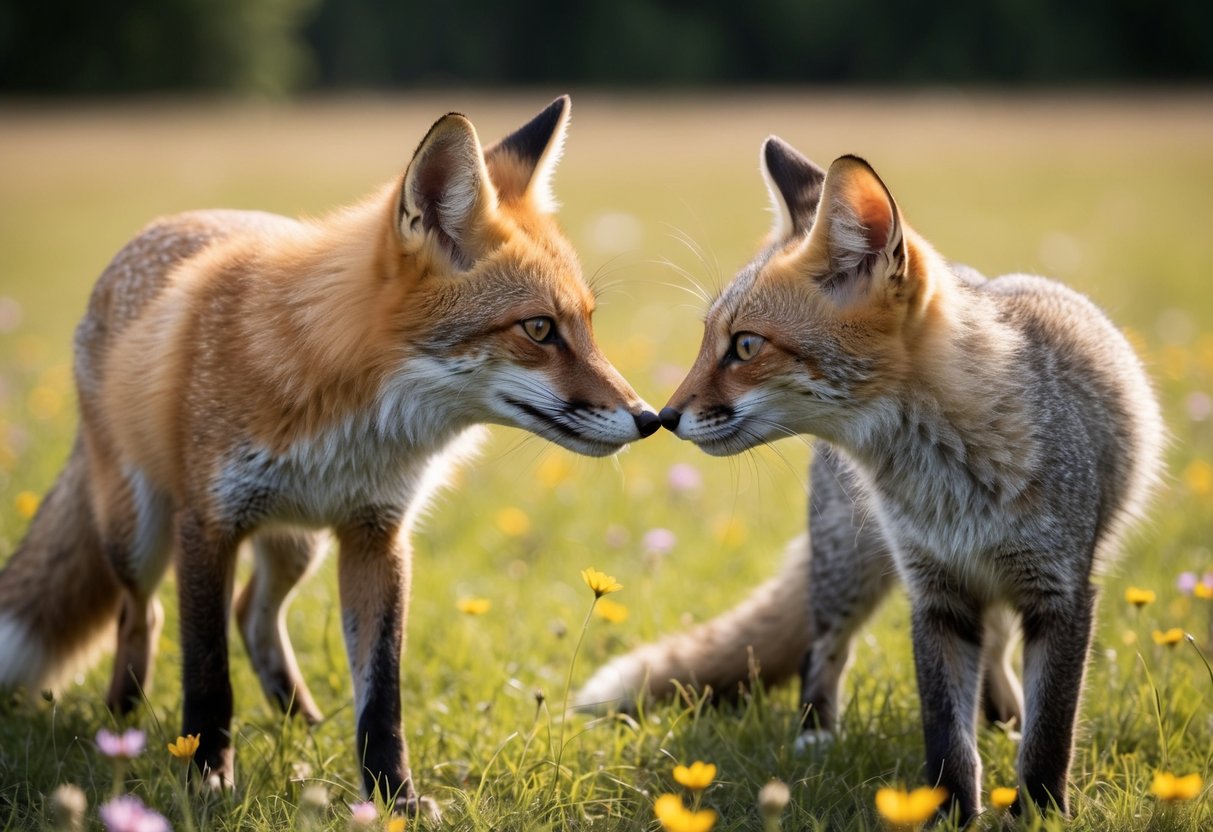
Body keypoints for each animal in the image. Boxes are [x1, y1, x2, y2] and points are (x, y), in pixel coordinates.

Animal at [0, 96, 661, 817]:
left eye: (588, 325)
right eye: (539, 329)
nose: (649, 418)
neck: (347, 421)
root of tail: (161, 226)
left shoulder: (376, 535)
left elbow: (381, 697)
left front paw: (393, 798)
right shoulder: (208, 524)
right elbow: (207, 672)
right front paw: (207, 777)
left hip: (297, 543)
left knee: (253, 612)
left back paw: (299, 719)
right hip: (139, 532)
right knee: (140, 613)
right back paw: (122, 721)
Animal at [579, 137, 1163, 821]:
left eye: (745, 346)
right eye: (707, 341)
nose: (661, 418)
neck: (952, 486)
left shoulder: (1060, 593)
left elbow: (1050, 735)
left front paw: (1039, 813)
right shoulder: (933, 593)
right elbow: (946, 737)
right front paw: (947, 815)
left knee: (995, 650)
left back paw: (1002, 718)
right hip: (849, 570)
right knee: (822, 650)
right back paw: (815, 737)